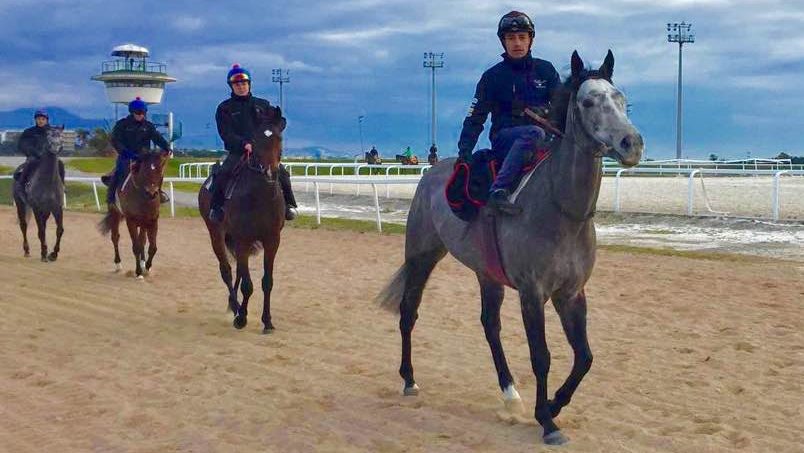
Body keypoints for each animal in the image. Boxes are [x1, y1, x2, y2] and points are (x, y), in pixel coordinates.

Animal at [12, 127, 65, 262]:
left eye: (61, 136)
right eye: (49, 136)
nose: (56, 147)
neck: (48, 182)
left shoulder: (57, 208)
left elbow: (59, 230)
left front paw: (53, 254)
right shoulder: (37, 208)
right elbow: (41, 231)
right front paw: (44, 253)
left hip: (46, 211)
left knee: (43, 226)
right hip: (20, 205)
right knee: (24, 226)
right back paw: (27, 250)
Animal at [100, 150, 170, 278]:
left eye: (159, 171)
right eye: (144, 171)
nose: (152, 193)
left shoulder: (152, 220)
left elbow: (152, 247)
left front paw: (147, 268)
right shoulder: (131, 221)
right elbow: (136, 246)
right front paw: (138, 272)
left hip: (143, 223)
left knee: (142, 240)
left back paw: (142, 263)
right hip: (115, 214)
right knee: (115, 237)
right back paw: (118, 264)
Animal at [198, 120, 286, 332]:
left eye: (279, 138)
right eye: (256, 140)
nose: (270, 172)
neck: (260, 196)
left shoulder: (272, 240)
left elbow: (267, 282)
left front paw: (267, 321)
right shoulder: (243, 240)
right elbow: (248, 285)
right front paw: (242, 318)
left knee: (237, 270)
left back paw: (233, 305)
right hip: (216, 235)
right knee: (226, 271)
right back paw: (236, 308)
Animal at [376, 51, 648, 444]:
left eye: (621, 99)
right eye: (587, 101)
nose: (632, 143)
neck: (561, 210)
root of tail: (432, 172)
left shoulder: (571, 293)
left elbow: (584, 357)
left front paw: (553, 405)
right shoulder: (532, 293)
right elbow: (541, 356)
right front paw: (547, 421)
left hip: (486, 274)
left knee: (490, 326)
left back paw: (510, 394)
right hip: (422, 256)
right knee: (409, 311)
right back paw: (409, 379)